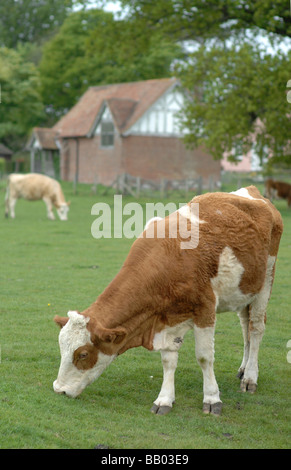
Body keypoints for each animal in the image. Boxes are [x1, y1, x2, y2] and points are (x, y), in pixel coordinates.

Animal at [53, 186, 284, 414]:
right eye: (61, 348)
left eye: (83, 354)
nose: (59, 390)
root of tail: (253, 192)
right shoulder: (165, 318)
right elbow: (168, 360)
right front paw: (164, 399)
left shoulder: (205, 310)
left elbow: (204, 357)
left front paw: (212, 398)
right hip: (245, 291)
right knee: (245, 328)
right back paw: (243, 369)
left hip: (266, 281)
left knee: (256, 329)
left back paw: (250, 377)